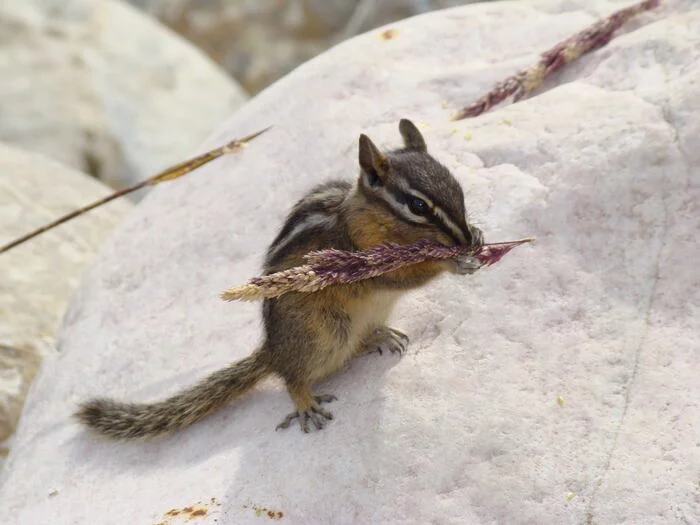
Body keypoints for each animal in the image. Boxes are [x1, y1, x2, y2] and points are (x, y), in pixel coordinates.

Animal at [76, 119, 484, 437]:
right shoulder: (363, 257)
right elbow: (404, 276)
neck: (370, 216)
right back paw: (305, 403)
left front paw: (476, 237)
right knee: (293, 375)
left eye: (457, 187)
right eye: (418, 205)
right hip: (322, 334)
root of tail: (272, 350)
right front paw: (452, 262)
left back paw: (377, 335)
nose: (464, 238)